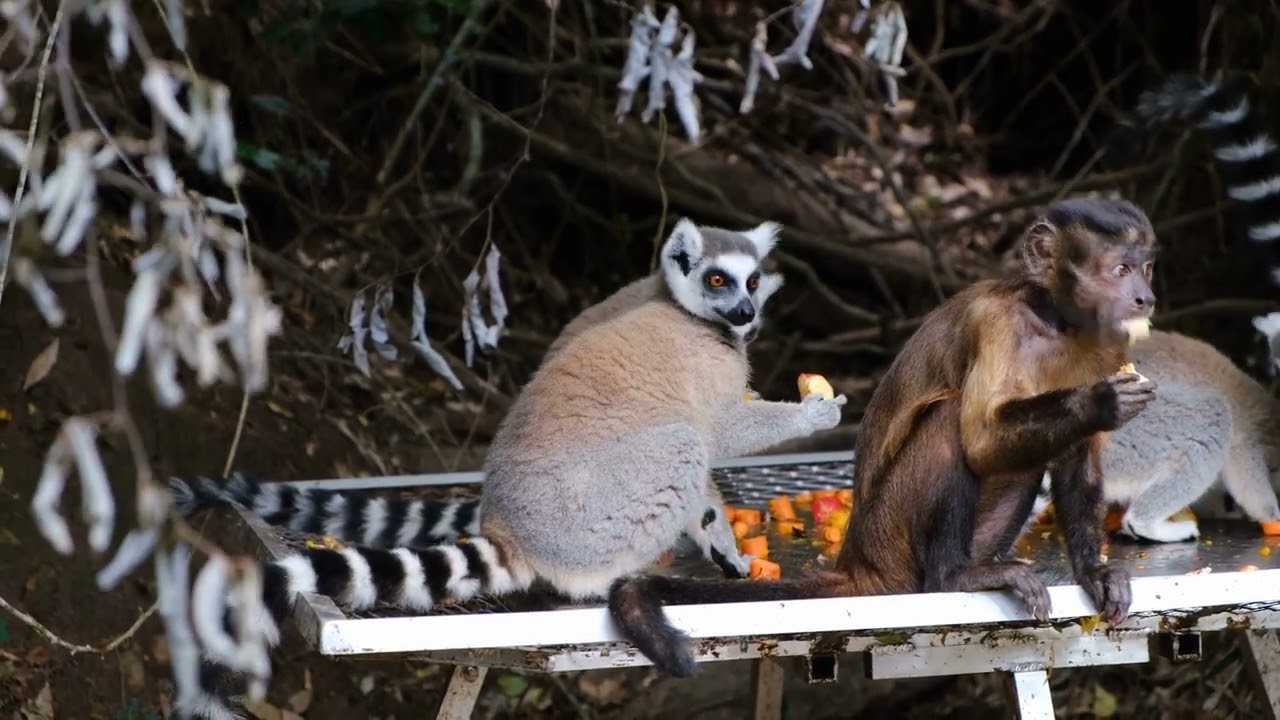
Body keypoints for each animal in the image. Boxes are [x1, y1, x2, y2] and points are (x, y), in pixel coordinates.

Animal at [189, 218, 847, 719]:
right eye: (716, 278)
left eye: (752, 279)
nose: (743, 311)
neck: (693, 320)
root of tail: (511, 526)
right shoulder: (705, 374)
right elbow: (720, 431)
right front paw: (816, 414)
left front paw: (725, 547)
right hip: (593, 516)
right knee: (681, 445)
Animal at [604, 196, 1160, 678]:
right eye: (1120, 270)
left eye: (1147, 268)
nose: (1146, 298)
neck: (1054, 322)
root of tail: (860, 561)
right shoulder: (998, 323)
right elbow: (980, 439)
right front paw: (1098, 404)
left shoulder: (1104, 344)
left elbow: (1078, 458)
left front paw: (1093, 572)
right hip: (891, 539)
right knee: (948, 421)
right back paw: (952, 577)